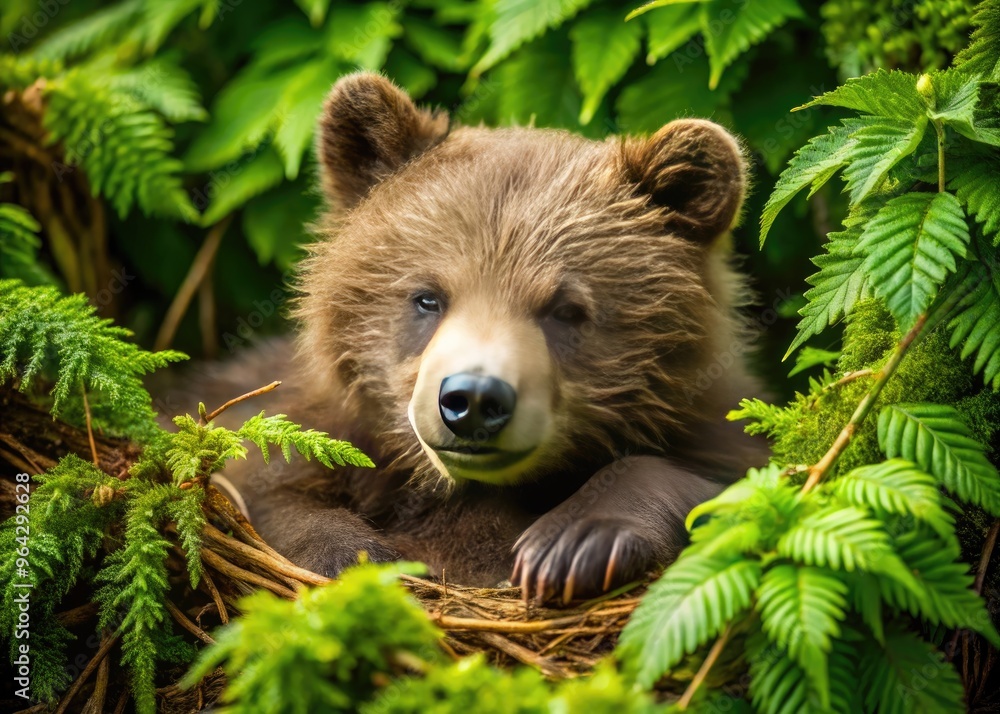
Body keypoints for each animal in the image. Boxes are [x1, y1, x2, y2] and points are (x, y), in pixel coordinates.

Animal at [209, 72, 767, 604]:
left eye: (565, 309)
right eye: (428, 297)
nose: (474, 399)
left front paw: (573, 543)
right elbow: (272, 489)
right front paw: (349, 554)